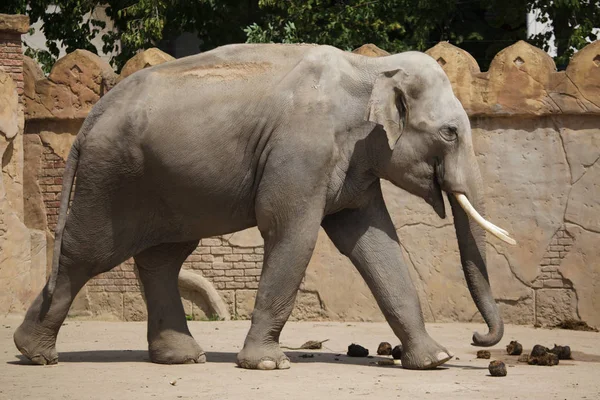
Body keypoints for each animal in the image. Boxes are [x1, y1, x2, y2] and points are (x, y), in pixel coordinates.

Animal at [11, 42, 512, 370]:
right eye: (450, 132)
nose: (477, 338)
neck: (372, 67)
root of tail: (90, 117)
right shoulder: (302, 149)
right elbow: (291, 232)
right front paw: (269, 364)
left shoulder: (354, 161)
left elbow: (374, 243)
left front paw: (434, 360)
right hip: (112, 178)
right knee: (87, 253)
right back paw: (36, 355)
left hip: (160, 183)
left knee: (162, 258)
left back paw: (180, 358)